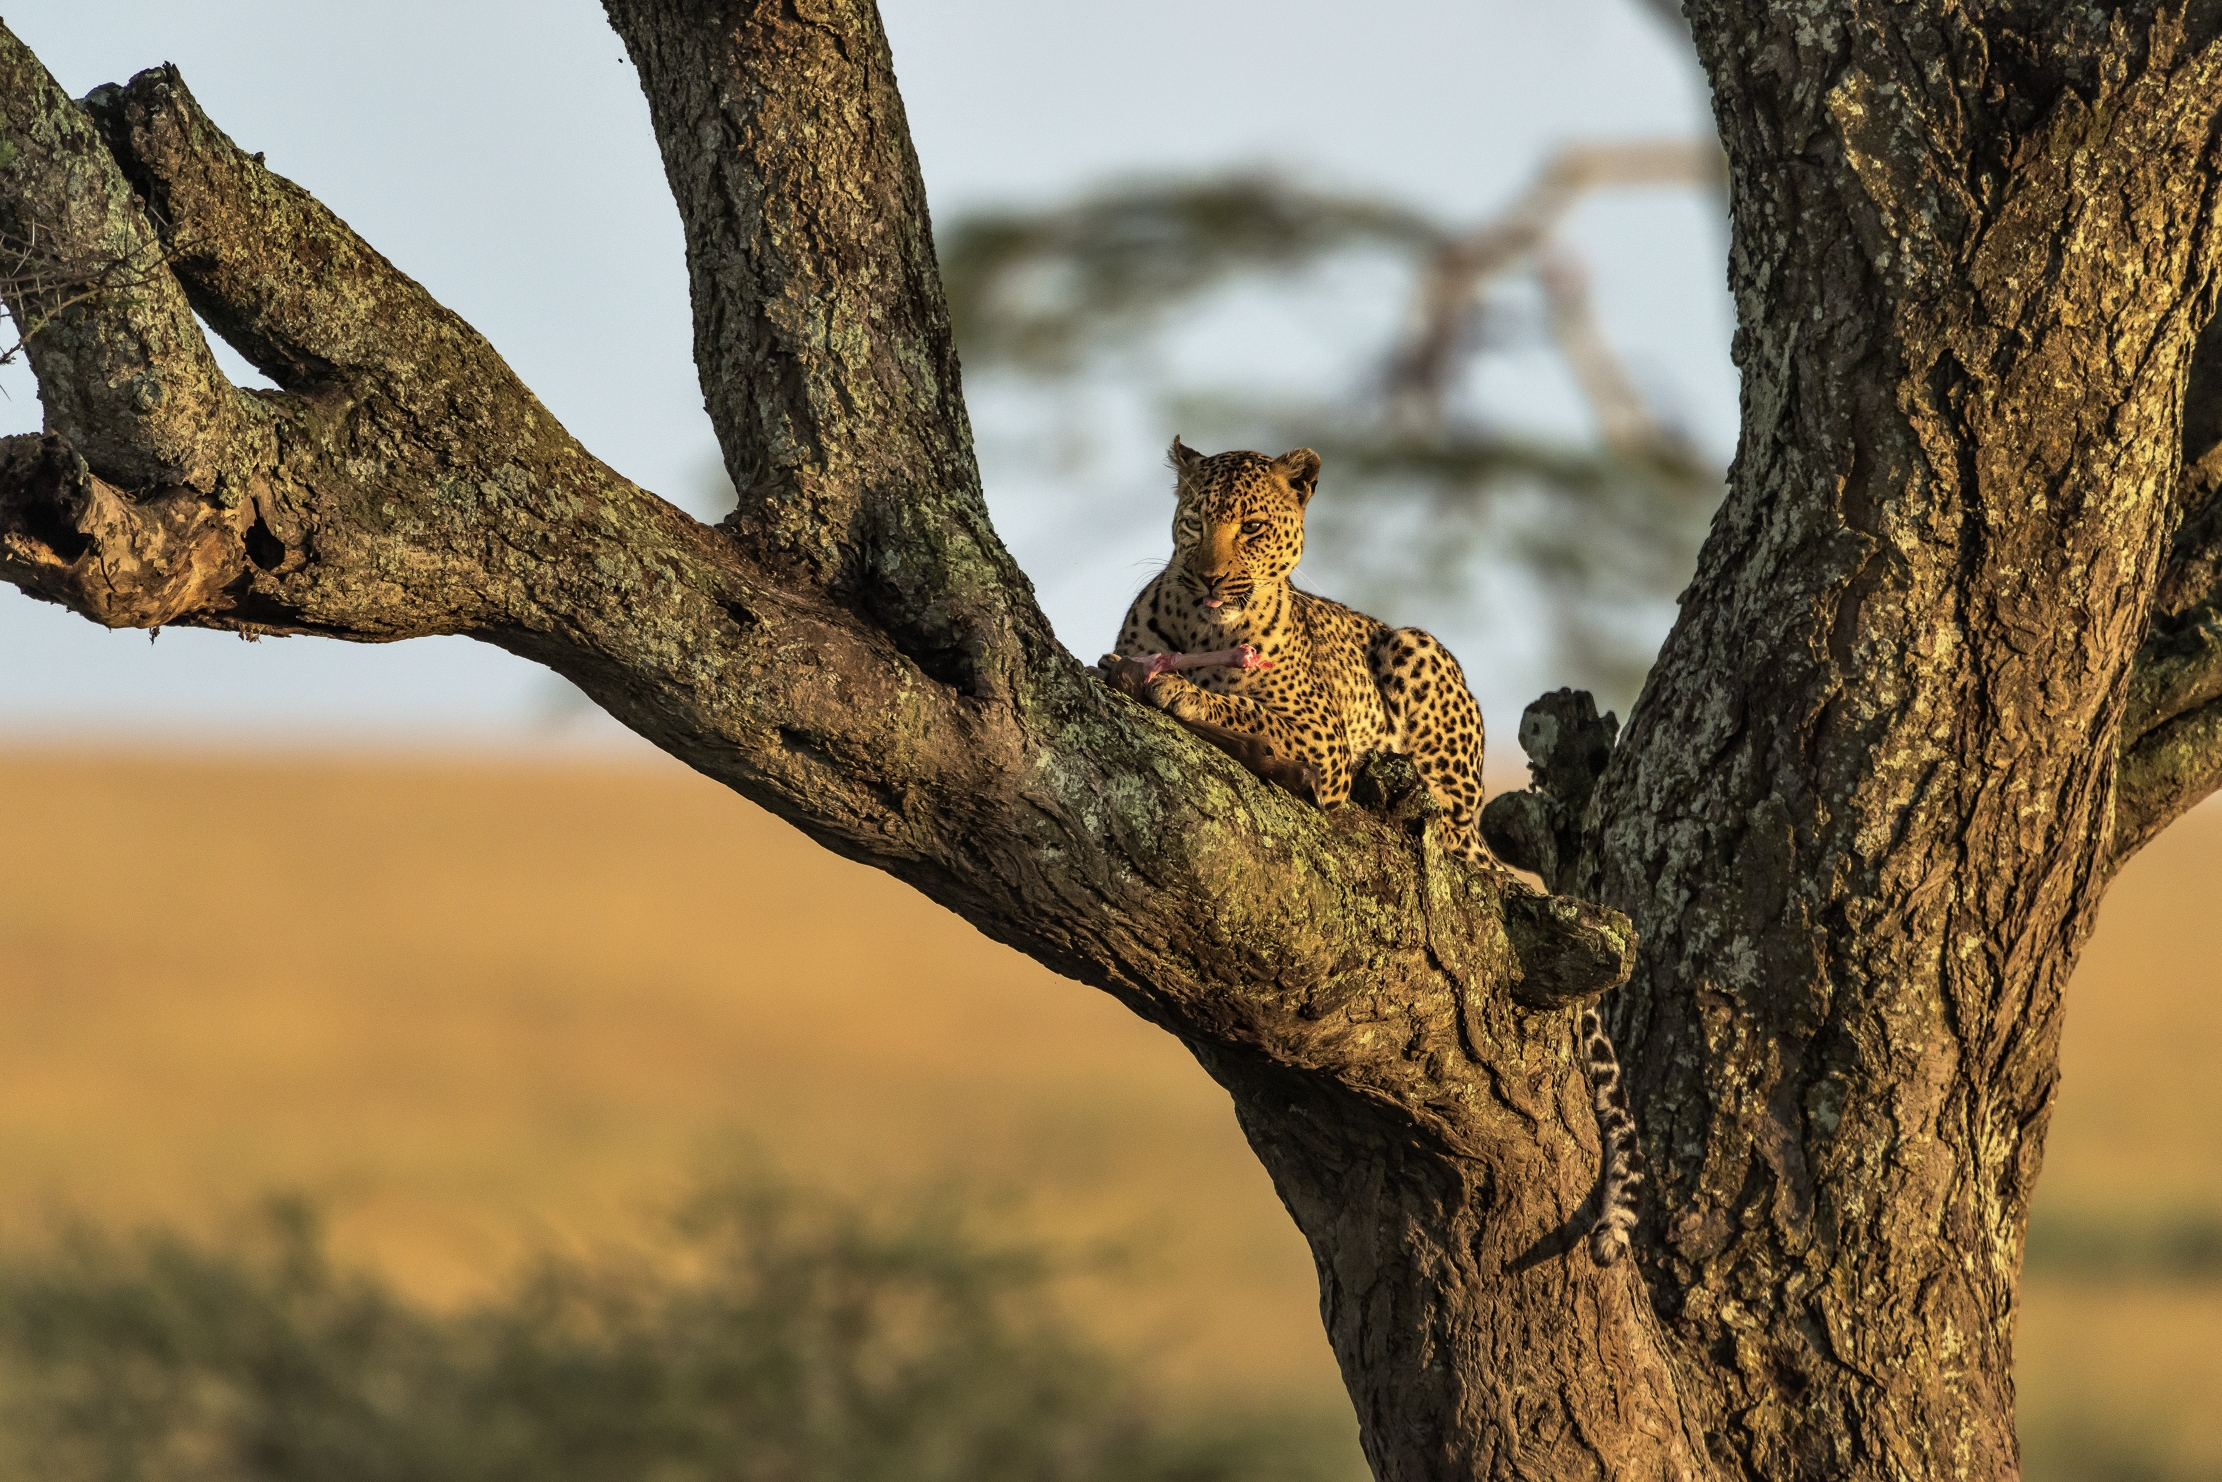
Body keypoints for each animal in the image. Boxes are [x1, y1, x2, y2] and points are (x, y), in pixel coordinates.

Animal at [1107, 436, 1643, 1266]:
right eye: (1194, 521)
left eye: (1251, 528)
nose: (1209, 576)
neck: (1199, 631)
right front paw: (1150, 677)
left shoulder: (1316, 730)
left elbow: (1243, 707)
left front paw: (1189, 696)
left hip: (1417, 659)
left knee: (1441, 825)